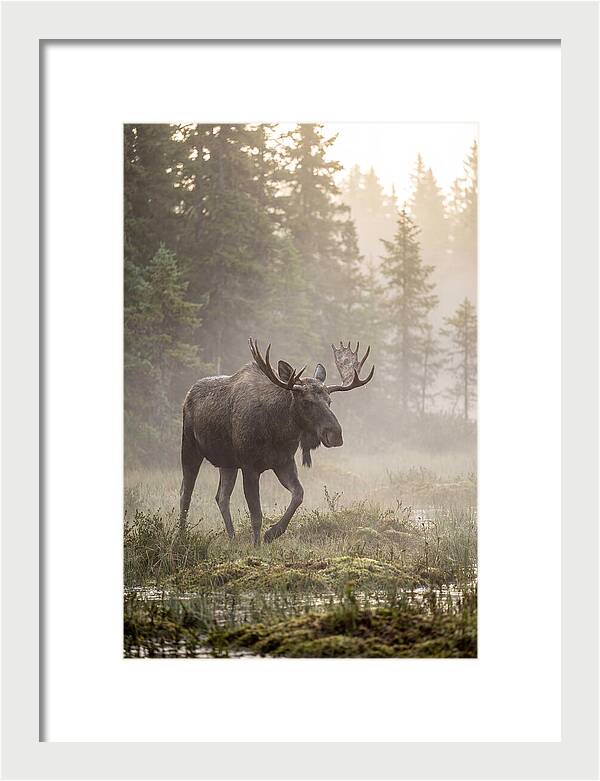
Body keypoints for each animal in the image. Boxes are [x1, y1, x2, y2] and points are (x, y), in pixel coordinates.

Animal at [179, 339, 374, 545]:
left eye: (329, 401)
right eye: (306, 401)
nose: (335, 434)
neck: (278, 432)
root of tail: (188, 395)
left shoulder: (284, 462)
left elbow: (298, 495)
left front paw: (272, 533)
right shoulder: (249, 466)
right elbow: (256, 515)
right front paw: (256, 545)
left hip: (227, 462)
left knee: (221, 497)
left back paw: (232, 538)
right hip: (189, 447)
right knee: (185, 493)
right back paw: (181, 536)